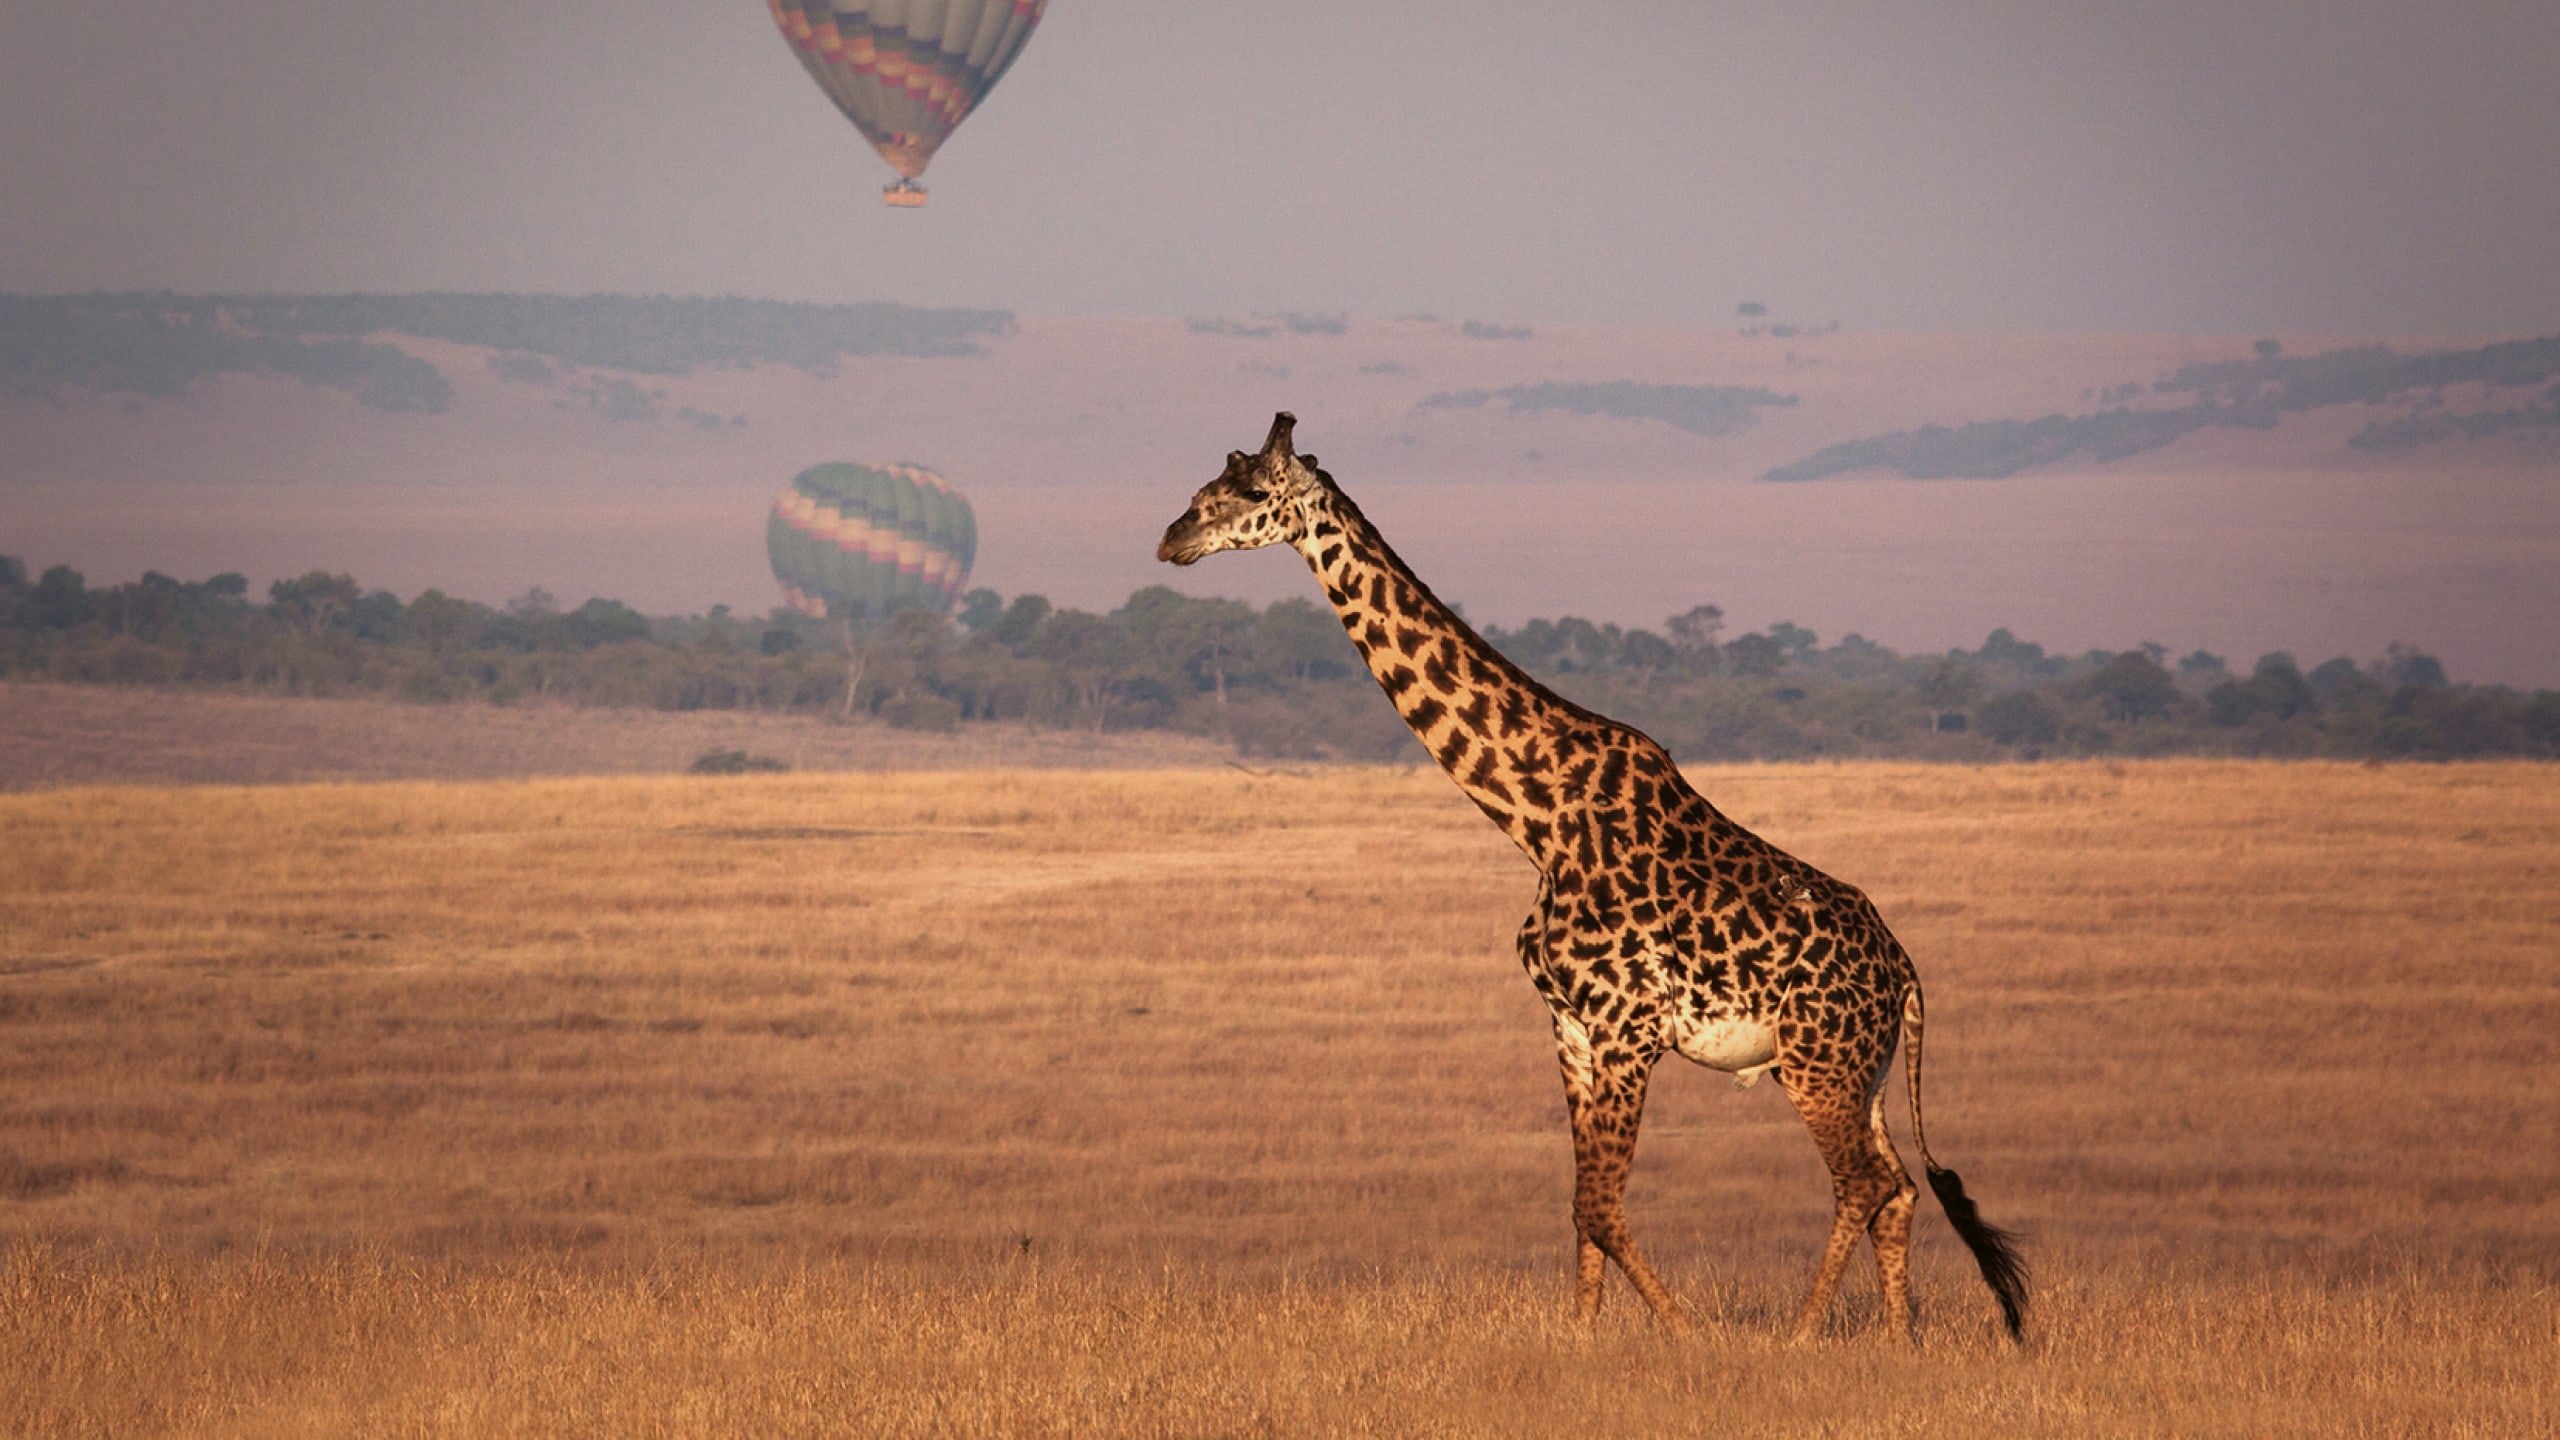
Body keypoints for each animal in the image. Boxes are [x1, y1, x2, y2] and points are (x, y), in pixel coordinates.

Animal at [1157, 413, 2028, 1344]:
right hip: (1860, 1070)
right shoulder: (1571, 1028)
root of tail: (1904, 972)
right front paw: (1582, 1336)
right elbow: (1582, 1209)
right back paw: (1898, 1338)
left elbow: (1605, 1208)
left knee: (1865, 1183)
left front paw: (1687, 1332)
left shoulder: (1624, 1028)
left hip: (1815, 1064)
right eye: (1206, 485)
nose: (1173, 540)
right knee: (1896, 1188)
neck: (1537, 818)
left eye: (1250, 491)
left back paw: (1798, 1336)